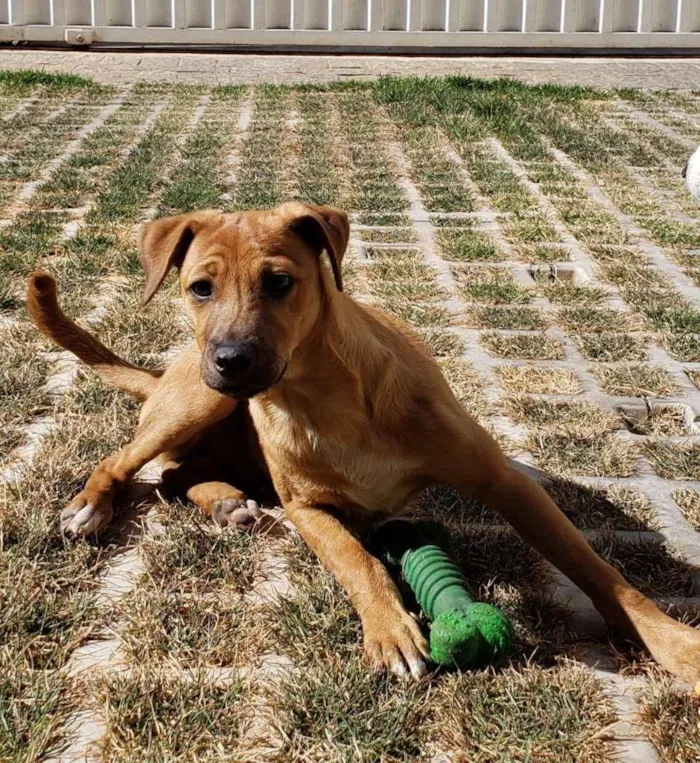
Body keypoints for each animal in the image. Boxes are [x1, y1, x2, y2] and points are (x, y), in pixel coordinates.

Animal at [28, 201, 700, 680]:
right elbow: (357, 560)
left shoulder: (507, 484)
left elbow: (597, 568)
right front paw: (391, 629)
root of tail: (164, 374)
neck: (323, 401)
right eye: (200, 288)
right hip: (200, 399)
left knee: (175, 475)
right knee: (126, 461)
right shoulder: (306, 507)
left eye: (280, 282)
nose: (231, 360)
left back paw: (223, 500)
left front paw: (674, 645)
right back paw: (94, 506)